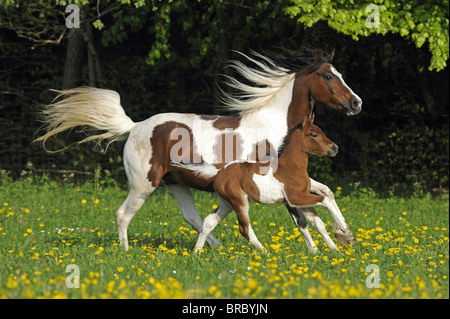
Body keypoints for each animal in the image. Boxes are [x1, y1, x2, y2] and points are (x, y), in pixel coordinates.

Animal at [193, 116, 348, 254]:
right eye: (314, 134)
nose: (335, 148)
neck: (291, 166)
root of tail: (219, 173)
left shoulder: (298, 200)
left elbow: (315, 223)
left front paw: (334, 250)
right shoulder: (295, 198)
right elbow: (325, 201)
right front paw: (345, 232)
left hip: (226, 203)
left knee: (208, 222)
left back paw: (197, 252)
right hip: (239, 202)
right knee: (245, 229)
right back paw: (266, 253)